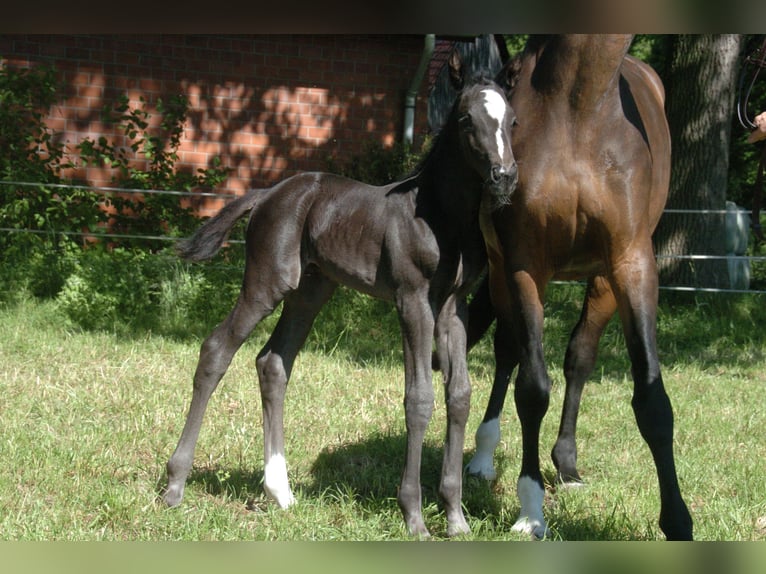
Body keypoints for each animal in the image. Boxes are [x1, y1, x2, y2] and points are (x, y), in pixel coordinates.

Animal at [462, 35, 696, 540]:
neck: (579, 108)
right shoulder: (525, 265)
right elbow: (532, 389)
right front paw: (530, 511)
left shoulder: (632, 263)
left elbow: (653, 400)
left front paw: (678, 521)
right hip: (502, 274)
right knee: (508, 352)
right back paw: (484, 456)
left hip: (603, 281)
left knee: (579, 356)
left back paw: (566, 464)